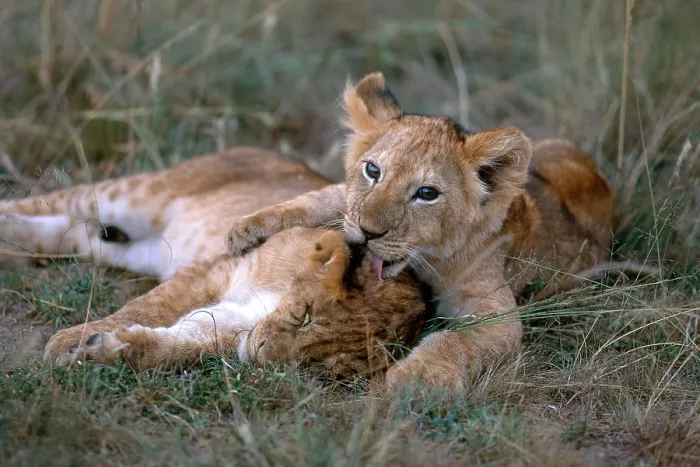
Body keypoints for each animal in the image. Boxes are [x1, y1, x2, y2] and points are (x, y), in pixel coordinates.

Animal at [1, 149, 428, 376]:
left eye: (318, 363)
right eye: (306, 316)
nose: (258, 354)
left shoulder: (234, 320)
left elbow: (182, 344)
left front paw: (107, 351)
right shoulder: (218, 268)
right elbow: (148, 307)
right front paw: (71, 340)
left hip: (132, 250)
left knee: (70, 235)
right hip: (132, 194)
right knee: (51, 201)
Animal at [224, 72, 617, 390]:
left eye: (427, 194)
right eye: (372, 171)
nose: (367, 233)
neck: (426, 264)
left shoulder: (498, 313)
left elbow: (458, 341)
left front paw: (415, 378)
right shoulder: (347, 204)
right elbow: (322, 199)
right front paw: (247, 230)